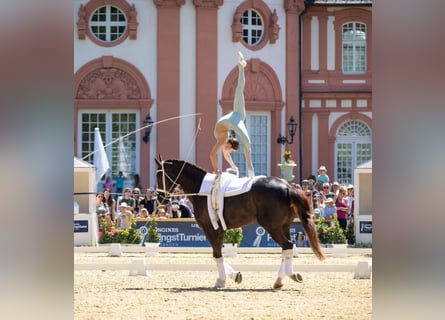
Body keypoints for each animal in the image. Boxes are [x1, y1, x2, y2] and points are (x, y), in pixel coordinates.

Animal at [155, 156, 322, 288]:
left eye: (159, 176)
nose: (160, 198)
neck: (201, 190)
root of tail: (287, 186)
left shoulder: (209, 228)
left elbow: (216, 254)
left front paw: (222, 280)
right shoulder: (219, 229)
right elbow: (219, 253)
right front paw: (234, 276)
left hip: (272, 227)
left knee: (287, 246)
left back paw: (285, 277)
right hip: (284, 226)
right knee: (287, 248)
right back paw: (281, 279)